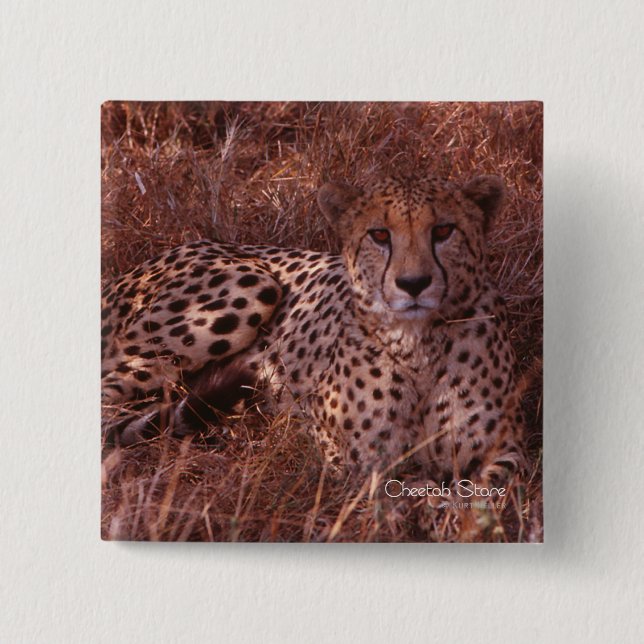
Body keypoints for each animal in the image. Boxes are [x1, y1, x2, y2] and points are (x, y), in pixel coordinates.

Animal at [101, 173, 526, 488]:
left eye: (443, 231)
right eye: (380, 235)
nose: (413, 283)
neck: (417, 344)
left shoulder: (508, 451)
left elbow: (485, 491)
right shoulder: (350, 459)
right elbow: (407, 487)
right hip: (251, 286)